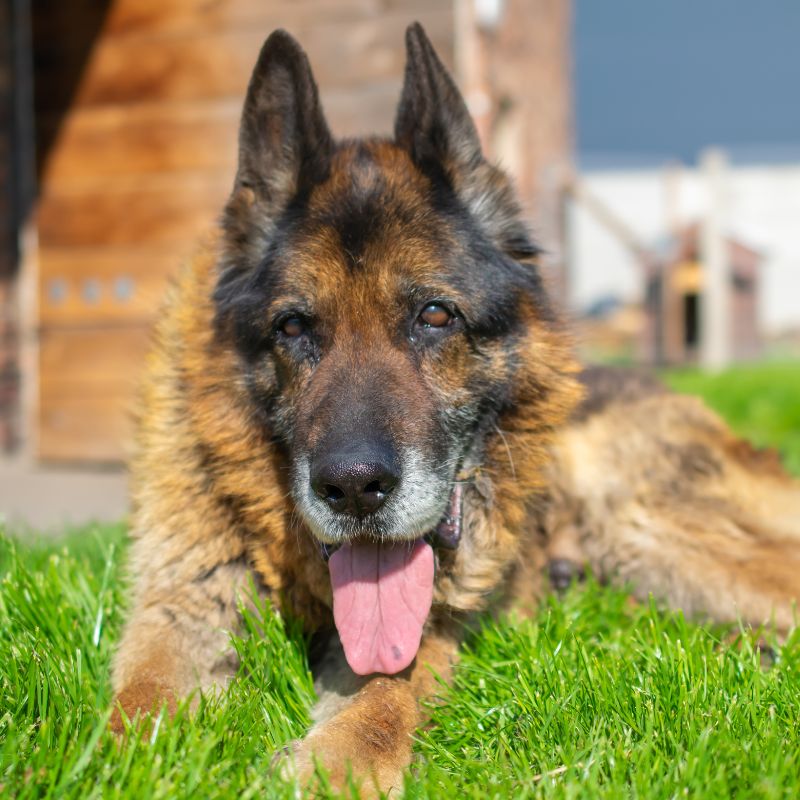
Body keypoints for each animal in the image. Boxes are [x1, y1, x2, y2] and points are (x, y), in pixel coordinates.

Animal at [111, 21, 800, 796]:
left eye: (435, 316)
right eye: (292, 327)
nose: (354, 488)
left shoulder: (428, 627)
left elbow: (385, 696)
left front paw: (335, 766)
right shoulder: (180, 600)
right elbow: (140, 699)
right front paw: (131, 763)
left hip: (649, 522)